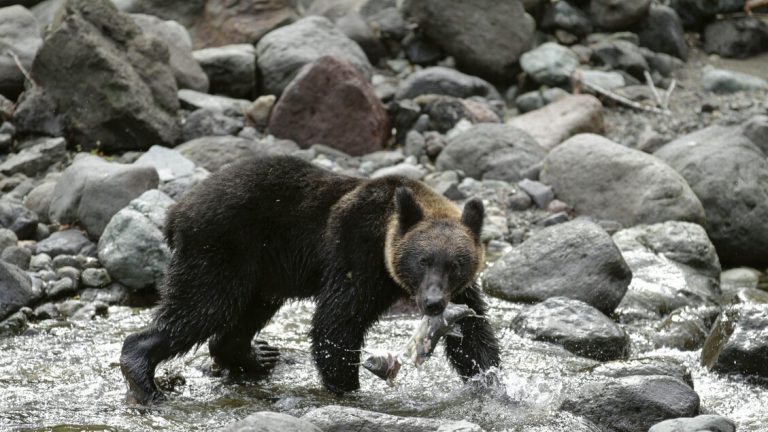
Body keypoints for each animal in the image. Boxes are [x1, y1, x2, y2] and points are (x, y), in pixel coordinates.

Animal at [120, 155, 501, 403]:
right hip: (221, 248)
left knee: (243, 315)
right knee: (201, 308)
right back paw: (145, 379)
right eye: (422, 261)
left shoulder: (461, 292)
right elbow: (336, 322)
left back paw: (258, 355)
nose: (433, 303)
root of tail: (175, 211)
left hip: (262, 272)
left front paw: (491, 382)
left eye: (455, 264)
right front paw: (349, 389)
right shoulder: (357, 253)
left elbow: (474, 334)